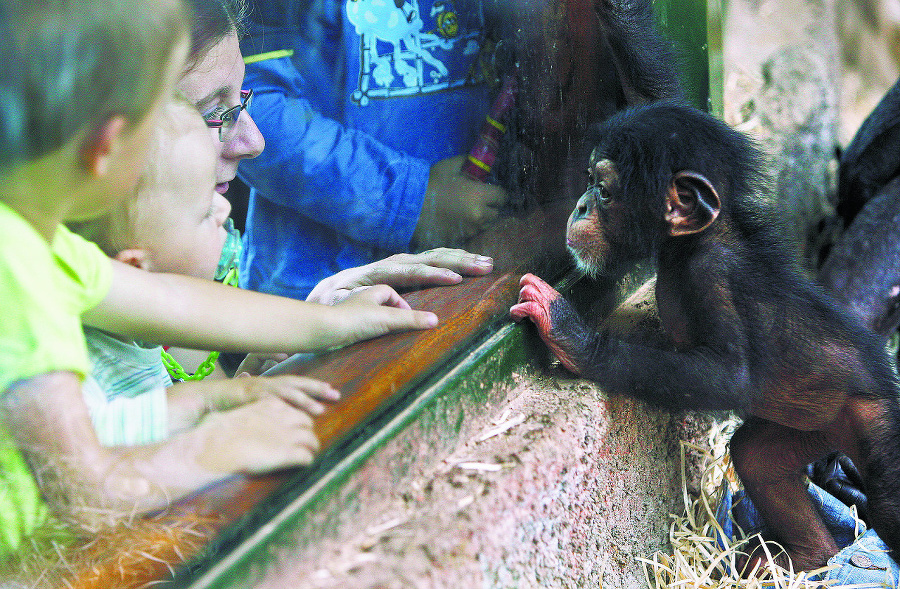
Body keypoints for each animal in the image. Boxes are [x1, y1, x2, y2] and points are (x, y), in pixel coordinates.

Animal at [510, 101, 900, 568]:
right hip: (815, 426)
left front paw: (570, 336)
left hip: (875, 424)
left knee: (888, 500)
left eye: (603, 190)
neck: (686, 244)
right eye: (588, 182)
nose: (582, 204)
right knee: (756, 458)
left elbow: (728, 375)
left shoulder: (711, 277)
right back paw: (802, 559)